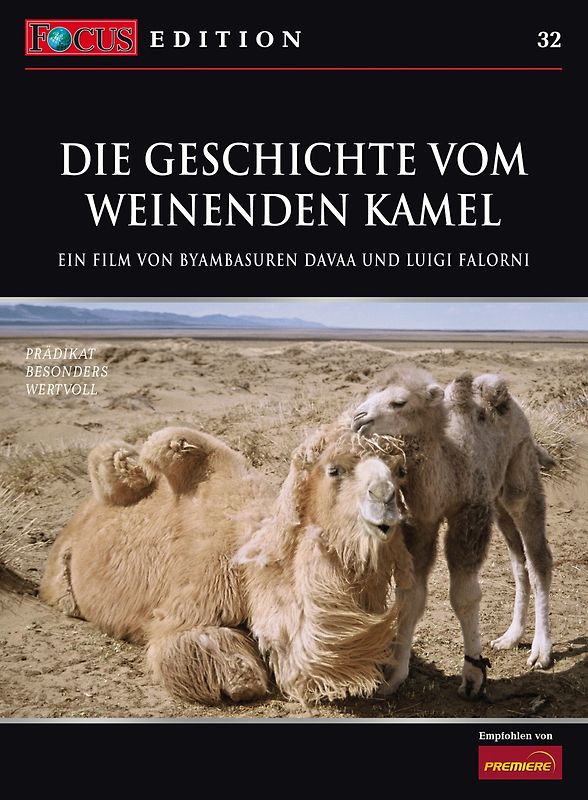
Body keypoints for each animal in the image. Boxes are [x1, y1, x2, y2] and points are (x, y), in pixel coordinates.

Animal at [40, 425, 413, 705]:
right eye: (334, 469)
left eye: (400, 472)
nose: (384, 500)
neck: (251, 563)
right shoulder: (193, 603)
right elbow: (192, 649)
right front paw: (238, 681)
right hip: (59, 577)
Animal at [350, 364, 553, 699]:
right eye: (370, 392)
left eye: (399, 402)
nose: (358, 418)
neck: (446, 464)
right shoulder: (419, 523)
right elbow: (410, 596)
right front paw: (394, 676)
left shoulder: (469, 515)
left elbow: (464, 597)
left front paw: (473, 676)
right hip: (497, 503)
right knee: (518, 561)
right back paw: (510, 637)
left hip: (520, 475)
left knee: (538, 561)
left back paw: (541, 651)